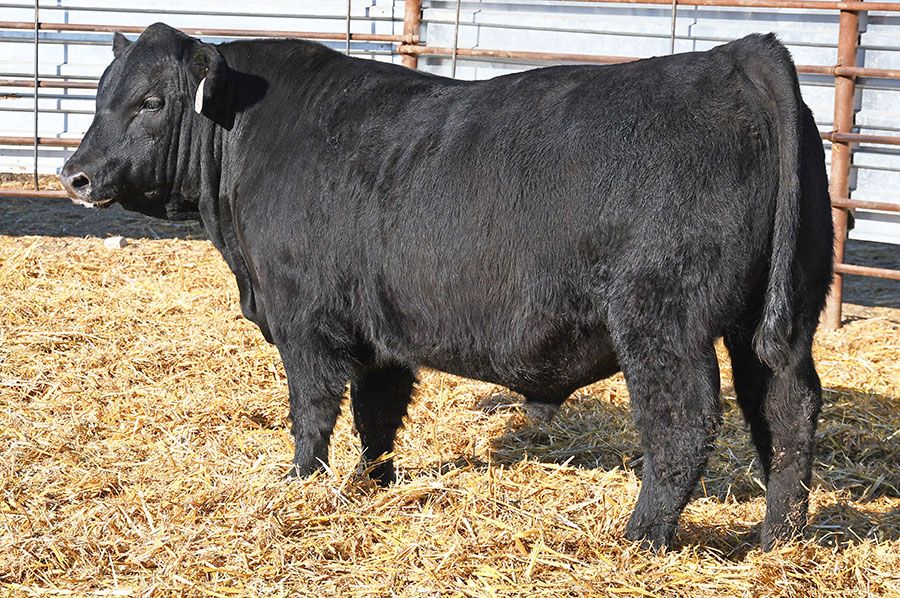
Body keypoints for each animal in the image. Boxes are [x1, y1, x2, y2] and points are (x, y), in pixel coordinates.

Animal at [60, 23, 833, 551]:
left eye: (152, 102)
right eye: (102, 96)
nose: (75, 174)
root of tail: (737, 55)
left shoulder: (304, 319)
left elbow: (313, 410)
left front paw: (301, 484)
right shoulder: (375, 327)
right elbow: (377, 411)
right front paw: (373, 483)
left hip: (661, 318)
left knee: (684, 422)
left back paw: (638, 536)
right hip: (777, 318)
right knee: (787, 410)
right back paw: (778, 538)